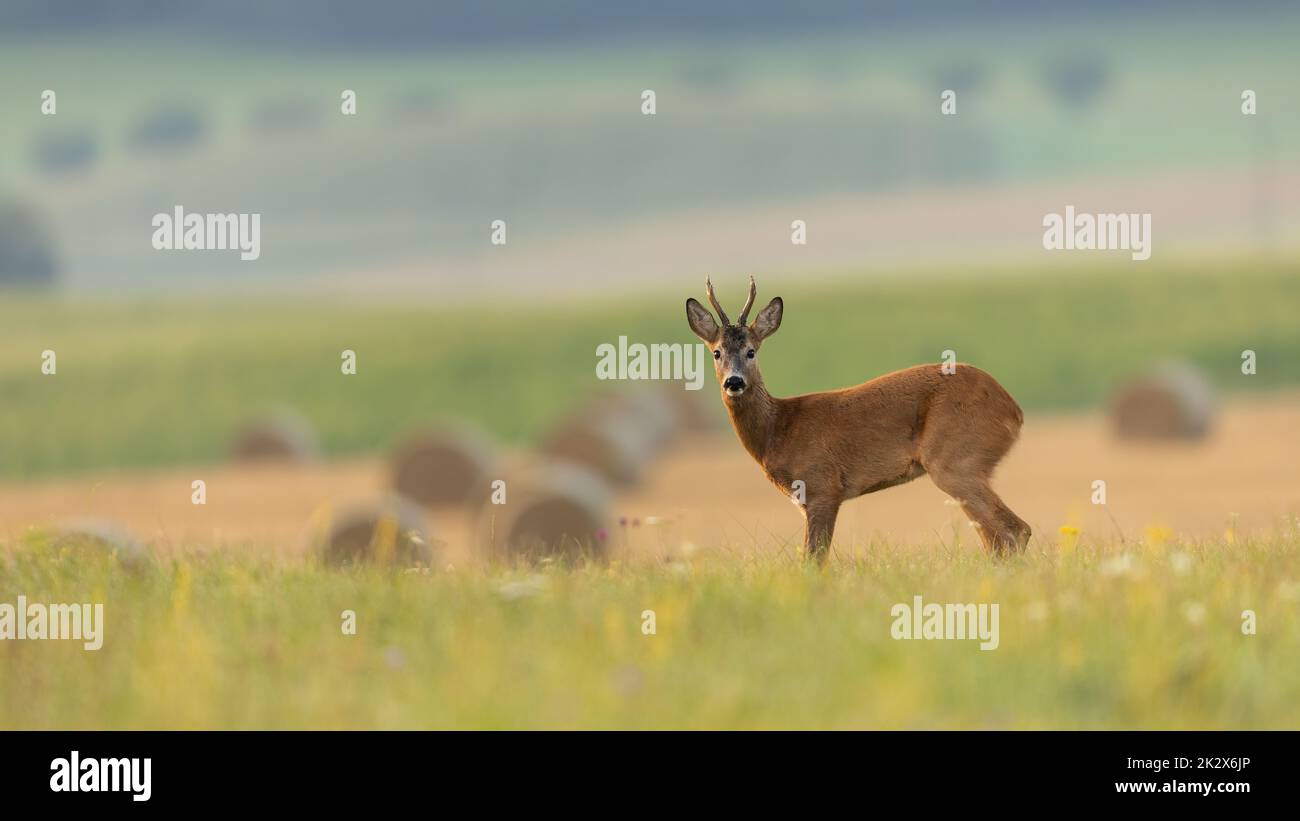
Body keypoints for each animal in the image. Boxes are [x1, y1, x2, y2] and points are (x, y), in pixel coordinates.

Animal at [686, 277, 1029, 563]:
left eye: (751, 351)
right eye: (716, 352)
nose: (734, 382)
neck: (779, 429)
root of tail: (1013, 409)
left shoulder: (823, 487)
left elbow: (813, 560)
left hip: (956, 461)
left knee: (1014, 531)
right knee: (997, 538)